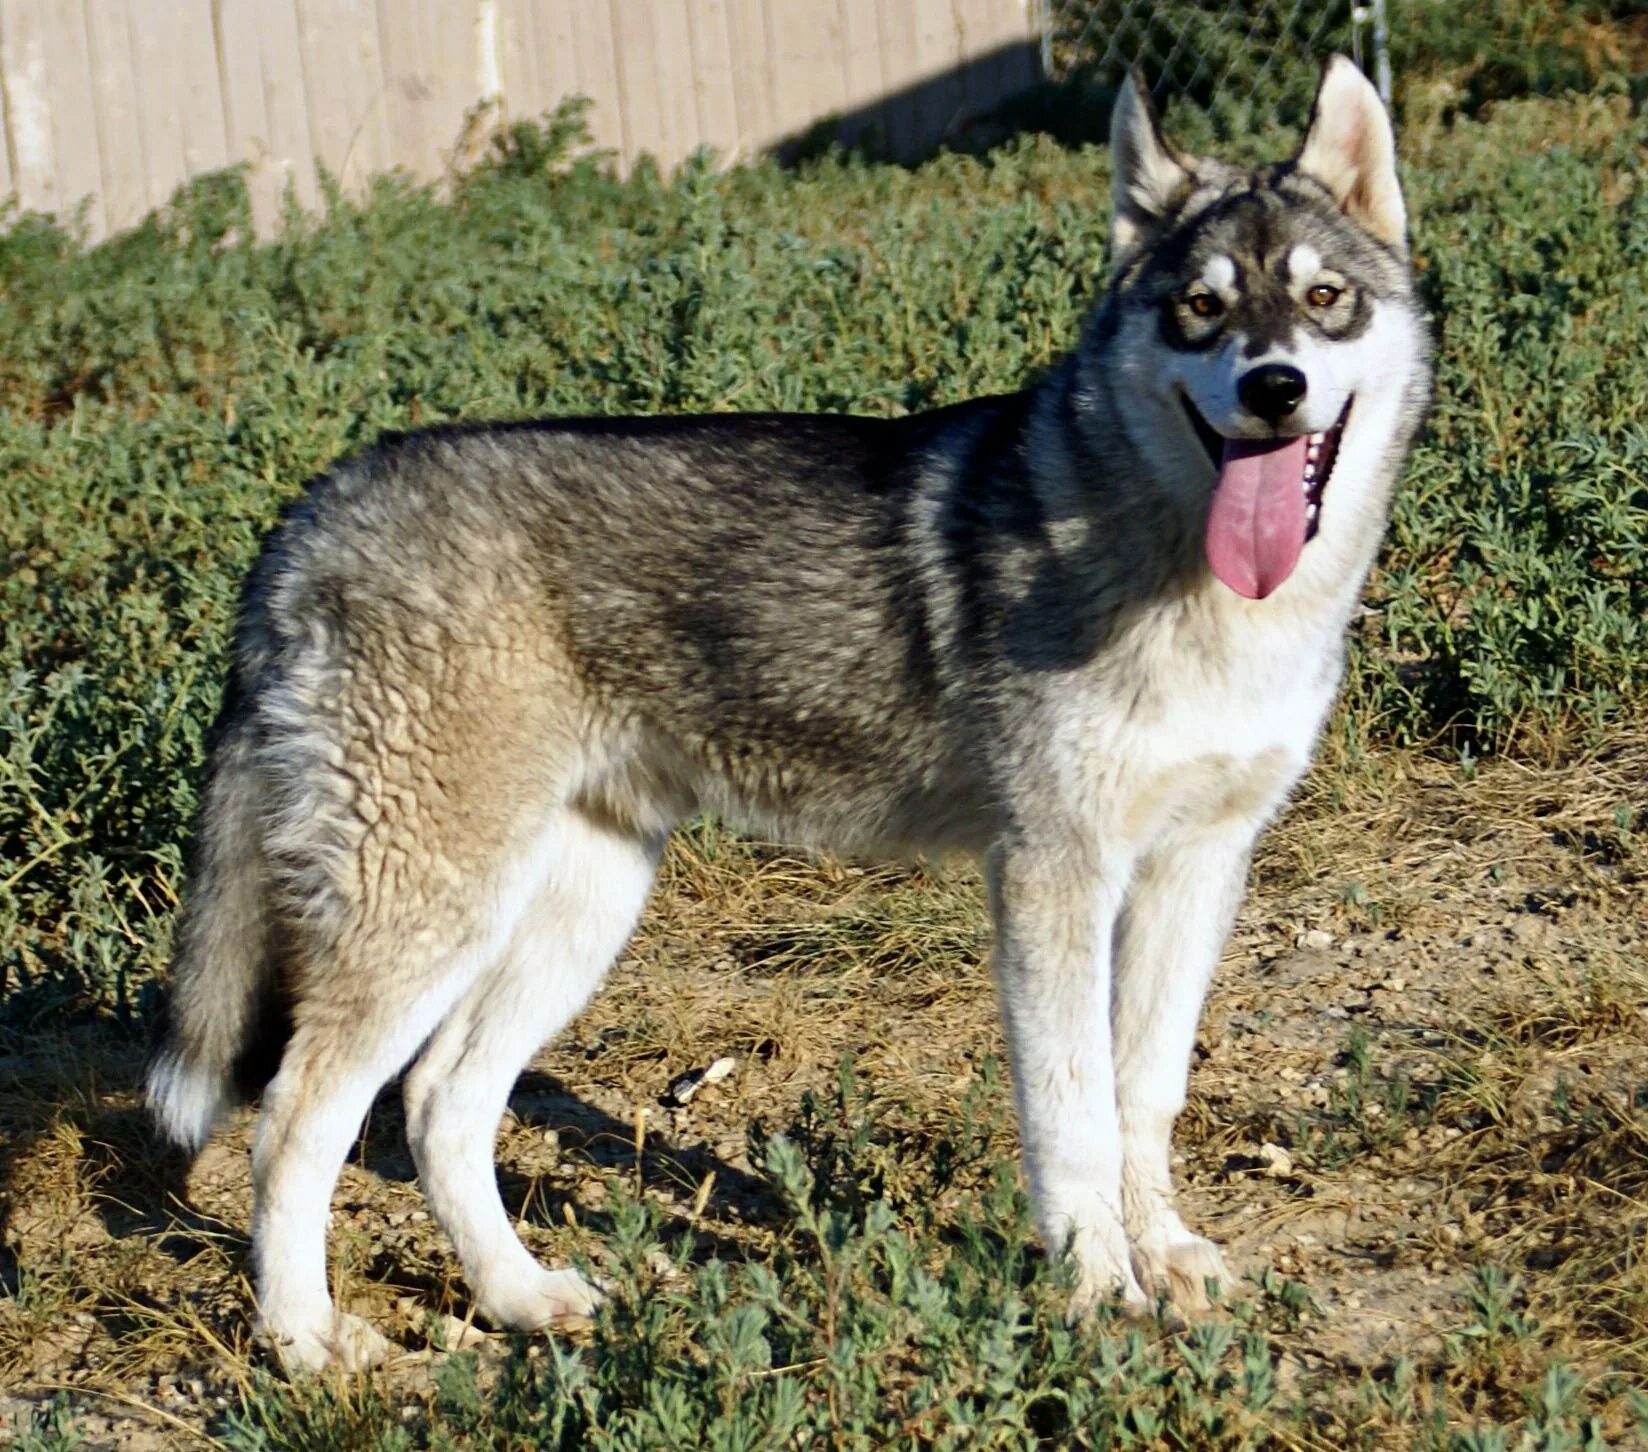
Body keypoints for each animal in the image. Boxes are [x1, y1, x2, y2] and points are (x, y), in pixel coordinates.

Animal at [151, 59, 1430, 1371]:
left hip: (575, 912)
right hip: (430, 916)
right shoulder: (1051, 874)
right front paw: (1094, 1295)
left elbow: (1143, 1096)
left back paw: (517, 1295)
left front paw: (1161, 1256)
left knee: (439, 1101)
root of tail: (312, 509)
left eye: (1324, 298)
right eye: (1198, 308)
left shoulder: (1195, 869)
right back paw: (306, 1343)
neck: (1191, 589)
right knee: (295, 1119)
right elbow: (1072, 1116)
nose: (1272, 388)